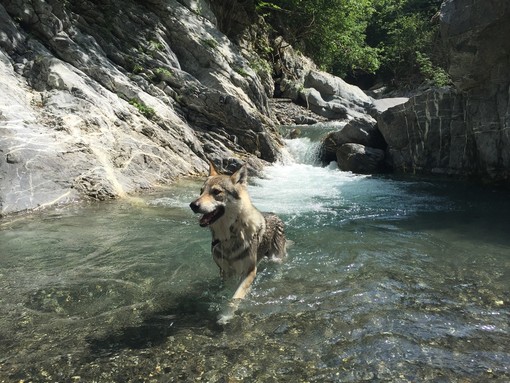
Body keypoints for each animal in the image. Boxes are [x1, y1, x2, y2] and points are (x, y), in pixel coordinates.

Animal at [190, 160, 286, 310]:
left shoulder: (250, 272)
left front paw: (225, 314)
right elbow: (228, 291)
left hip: (276, 258)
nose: (192, 205)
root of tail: (274, 214)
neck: (229, 236)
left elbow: (235, 298)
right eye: (201, 192)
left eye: (216, 192)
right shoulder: (225, 272)